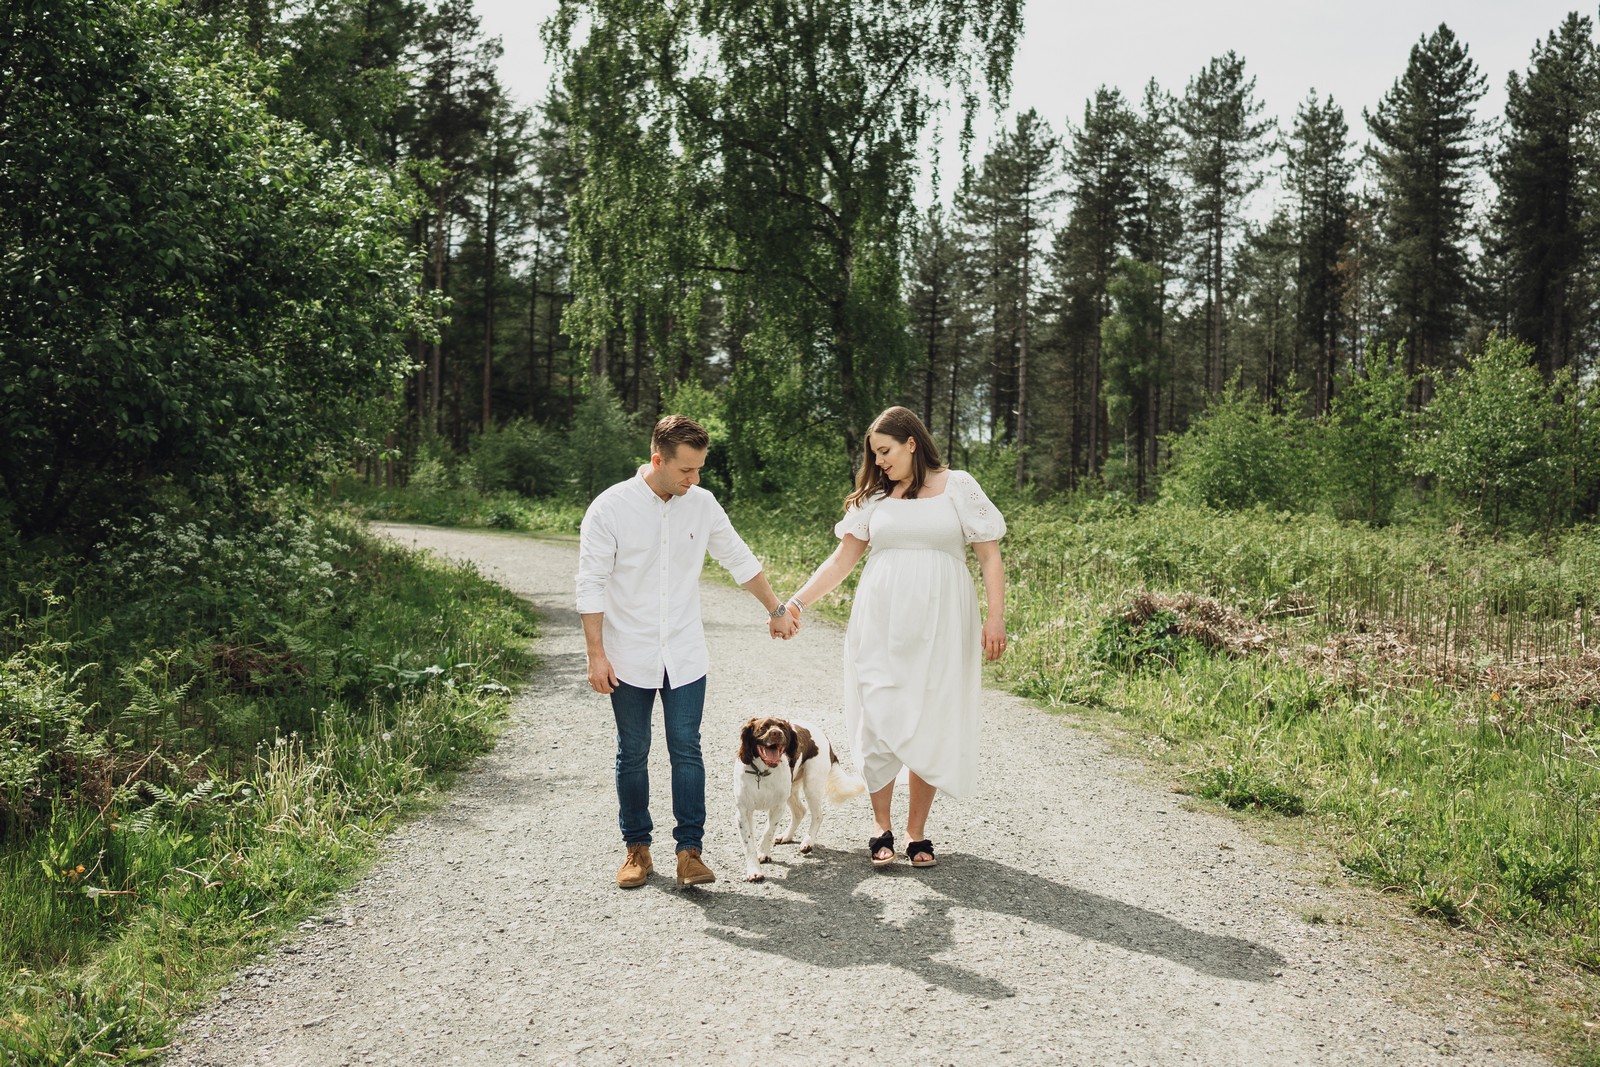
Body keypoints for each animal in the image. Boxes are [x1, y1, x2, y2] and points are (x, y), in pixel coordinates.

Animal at [732, 716, 864, 883]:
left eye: (782, 727)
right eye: (763, 727)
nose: (776, 733)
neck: (762, 772)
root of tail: (825, 738)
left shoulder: (777, 807)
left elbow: (768, 831)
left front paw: (763, 853)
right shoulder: (743, 813)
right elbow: (749, 843)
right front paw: (754, 871)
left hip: (811, 785)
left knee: (817, 816)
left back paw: (807, 842)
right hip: (792, 790)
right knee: (800, 812)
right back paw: (786, 836)